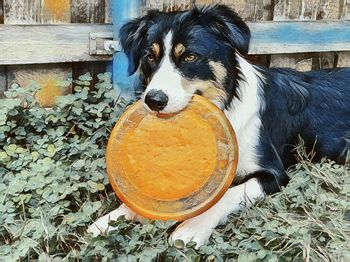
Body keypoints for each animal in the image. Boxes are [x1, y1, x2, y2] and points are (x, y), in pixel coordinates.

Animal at [88, 4, 350, 248]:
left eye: (190, 57)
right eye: (150, 57)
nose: (154, 100)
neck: (227, 104)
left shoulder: (275, 174)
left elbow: (228, 195)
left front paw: (193, 226)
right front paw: (111, 218)